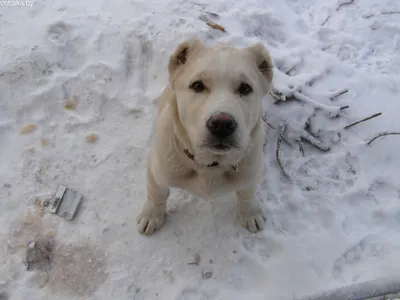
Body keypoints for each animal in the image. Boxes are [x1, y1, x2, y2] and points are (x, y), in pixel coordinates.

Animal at [136, 38, 274, 234]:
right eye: (197, 85)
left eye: (245, 88)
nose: (222, 125)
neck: (210, 166)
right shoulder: (156, 169)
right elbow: (156, 193)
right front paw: (151, 215)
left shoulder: (251, 171)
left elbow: (247, 193)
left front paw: (250, 212)